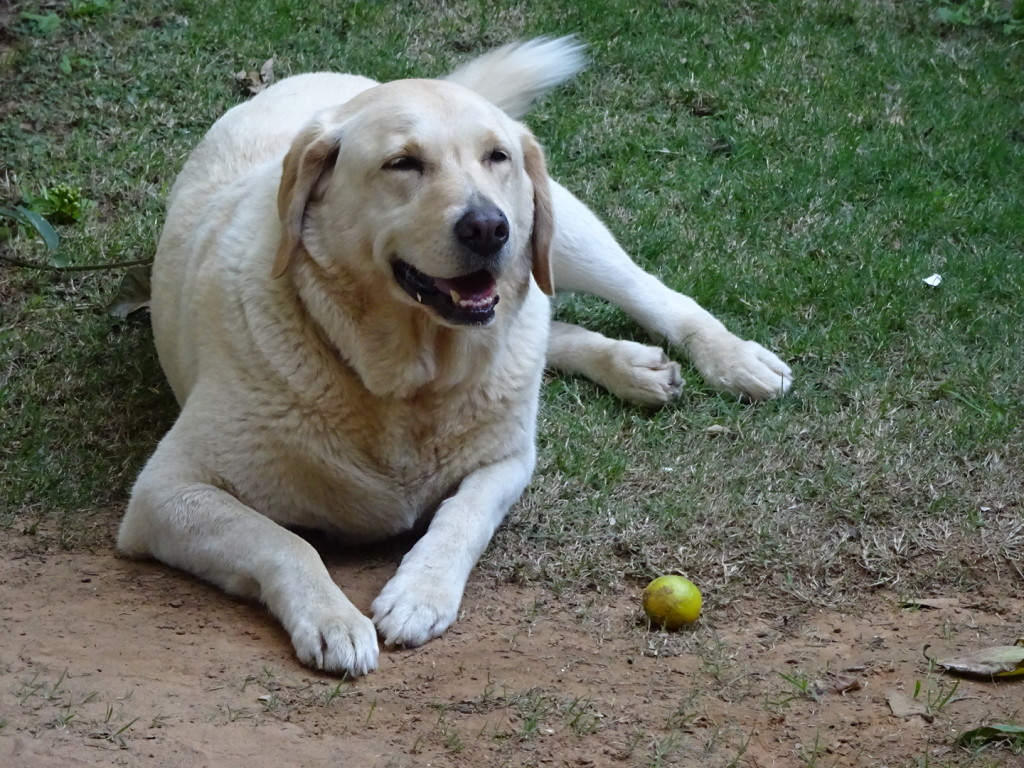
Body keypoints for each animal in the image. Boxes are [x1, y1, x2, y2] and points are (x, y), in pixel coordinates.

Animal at [117, 36, 790, 675]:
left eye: (497, 157)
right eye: (402, 163)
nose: (489, 227)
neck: (406, 381)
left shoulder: (508, 461)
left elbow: (461, 517)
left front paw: (422, 593)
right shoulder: (163, 494)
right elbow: (284, 541)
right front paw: (332, 619)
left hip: (564, 232)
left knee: (647, 294)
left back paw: (732, 360)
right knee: (552, 323)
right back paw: (633, 365)